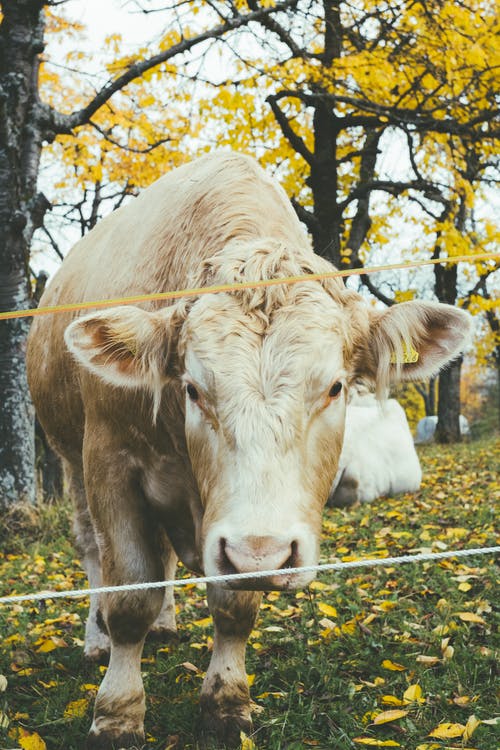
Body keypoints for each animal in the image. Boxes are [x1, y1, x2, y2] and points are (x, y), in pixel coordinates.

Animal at [26, 154, 472, 750]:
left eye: (335, 387)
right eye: (192, 388)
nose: (260, 554)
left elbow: (233, 605)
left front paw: (227, 702)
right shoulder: (110, 460)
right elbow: (130, 593)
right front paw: (117, 712)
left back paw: (166, 625)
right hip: (69, 456)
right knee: (93, 549)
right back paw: (96, 641)